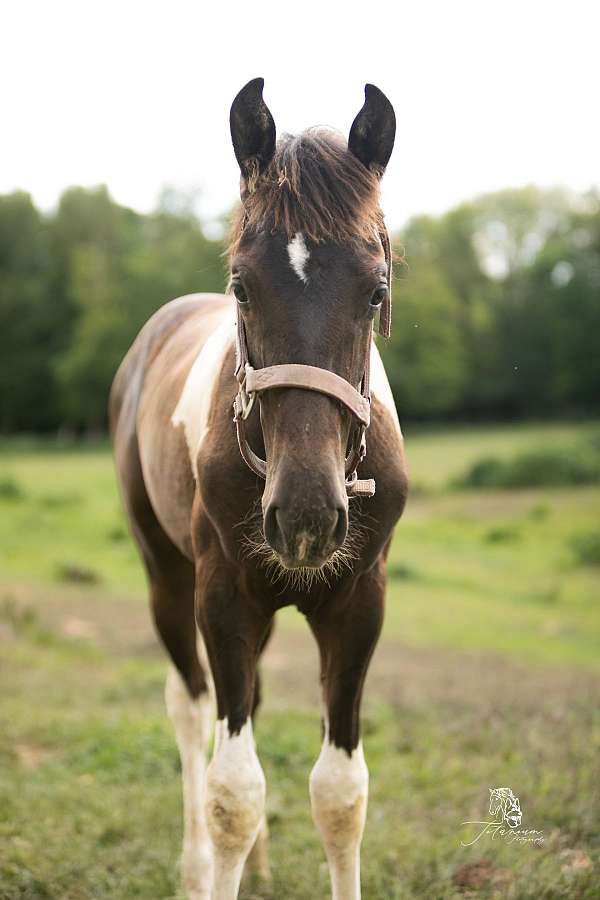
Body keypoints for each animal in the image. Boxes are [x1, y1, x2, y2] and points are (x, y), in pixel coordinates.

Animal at [109, 79, 408, 900]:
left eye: (376, 291)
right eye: (241, 287)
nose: (304, 514)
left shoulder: (359, 601)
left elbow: (341, 793)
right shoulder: (225, 595)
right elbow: (232, 793)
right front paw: (215, 865)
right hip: (167, 577)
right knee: (191, 708)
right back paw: (195, 869)